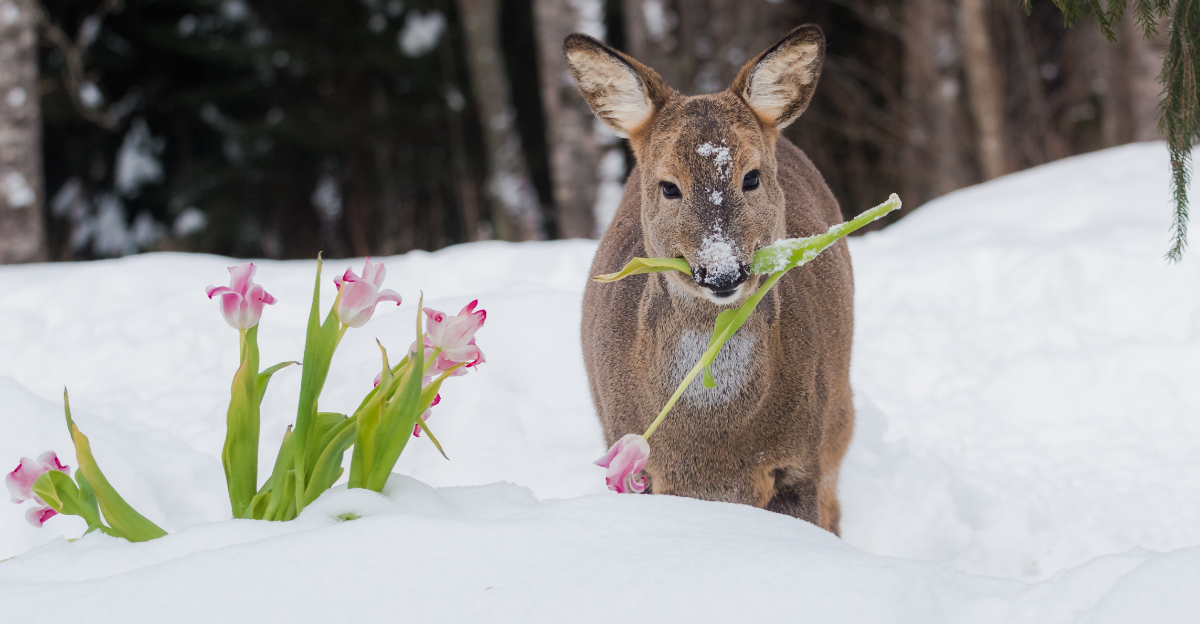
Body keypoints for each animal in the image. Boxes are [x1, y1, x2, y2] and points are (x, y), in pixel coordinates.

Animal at [573, 25, 855, 535]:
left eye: (752, 177)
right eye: (669, 186)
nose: (722, 271)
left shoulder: (800, 462)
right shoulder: (637, 465)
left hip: (840, 412)